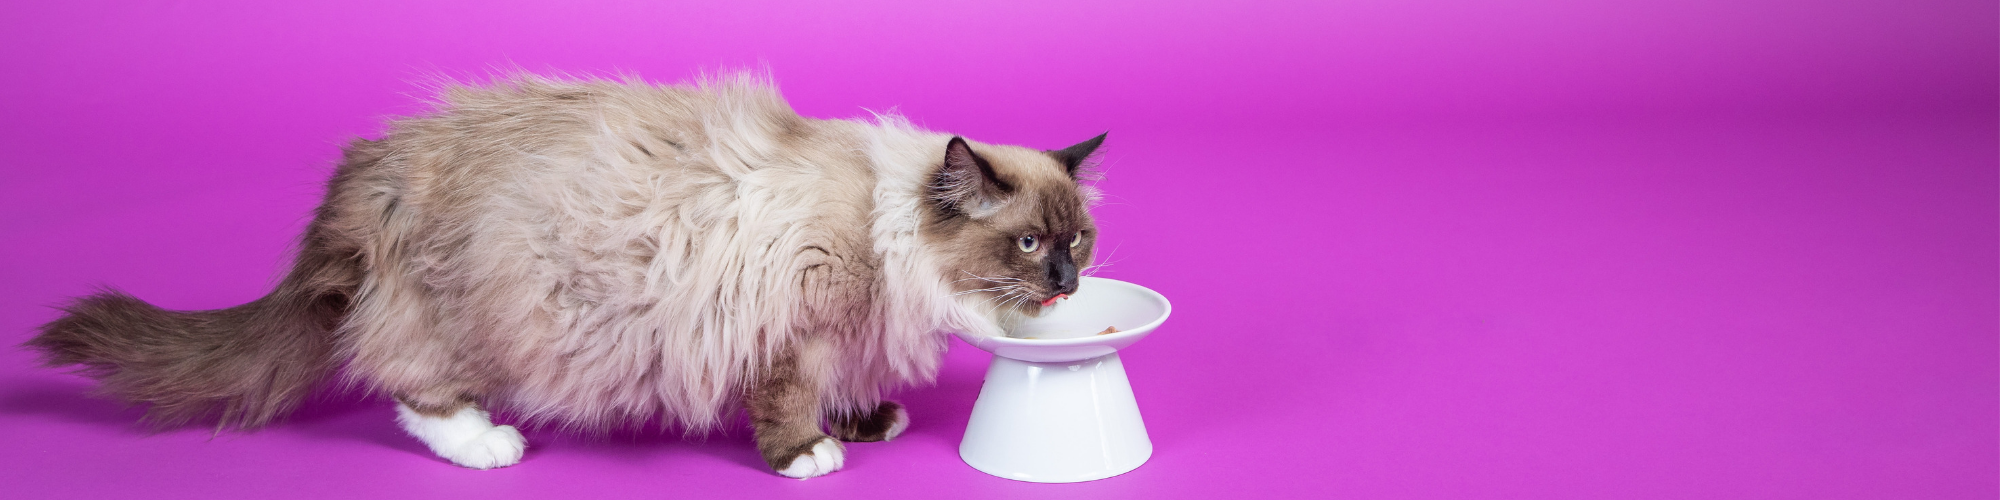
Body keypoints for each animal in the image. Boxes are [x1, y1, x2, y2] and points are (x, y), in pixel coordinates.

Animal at [27, 72, 1112, 478]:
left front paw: (865, 418)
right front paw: (808, 453)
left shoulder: (839, 328)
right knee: (409, 382)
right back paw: (484, 444)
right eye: (1027, 246)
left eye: (1080, 243)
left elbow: (846, 380)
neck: (891, 231)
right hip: (477, 311)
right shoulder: (791, 321)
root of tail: (371, 163)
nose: (1064, 280)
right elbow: (789, 398)